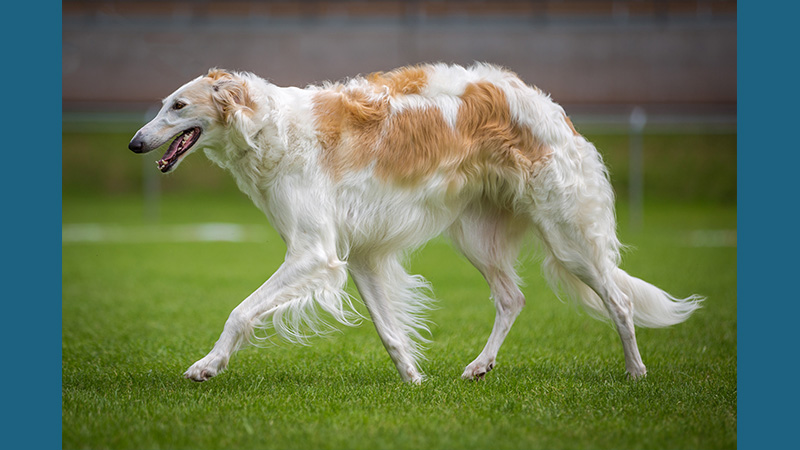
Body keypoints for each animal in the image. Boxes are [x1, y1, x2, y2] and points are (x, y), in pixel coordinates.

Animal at [130, 61, 700, 382]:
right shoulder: (359, 254)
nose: (135, 143)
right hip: (475, 235)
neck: (270, 126)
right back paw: (479, 365)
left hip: (567, 237)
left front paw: (207, 365)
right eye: (162, 104)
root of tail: (550, 106)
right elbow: (389, 331)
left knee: (620, 301)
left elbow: (239, 312)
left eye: (177, 105)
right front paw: (414, 380)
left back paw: (635, 372)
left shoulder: (314, 252)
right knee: (512, 298)